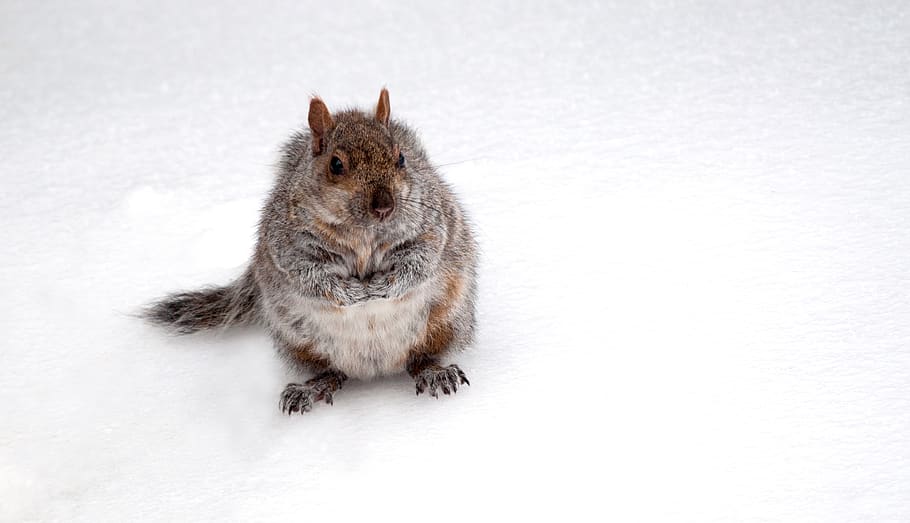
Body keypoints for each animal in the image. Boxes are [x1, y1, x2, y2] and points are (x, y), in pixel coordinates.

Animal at [144, 89, 478, 414]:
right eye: (336, 164)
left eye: (401, 158)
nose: (384, 206)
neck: (363, 233)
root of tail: (375, 368)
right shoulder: (288, 247)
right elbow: (311, 277)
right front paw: (351, 294)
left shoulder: (431, 226)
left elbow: (420, 261)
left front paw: (385, 286)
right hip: (300, 343)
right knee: (331, 372)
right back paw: (311, 388)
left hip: (445, 323)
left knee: (419, 358)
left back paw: (434, 372)